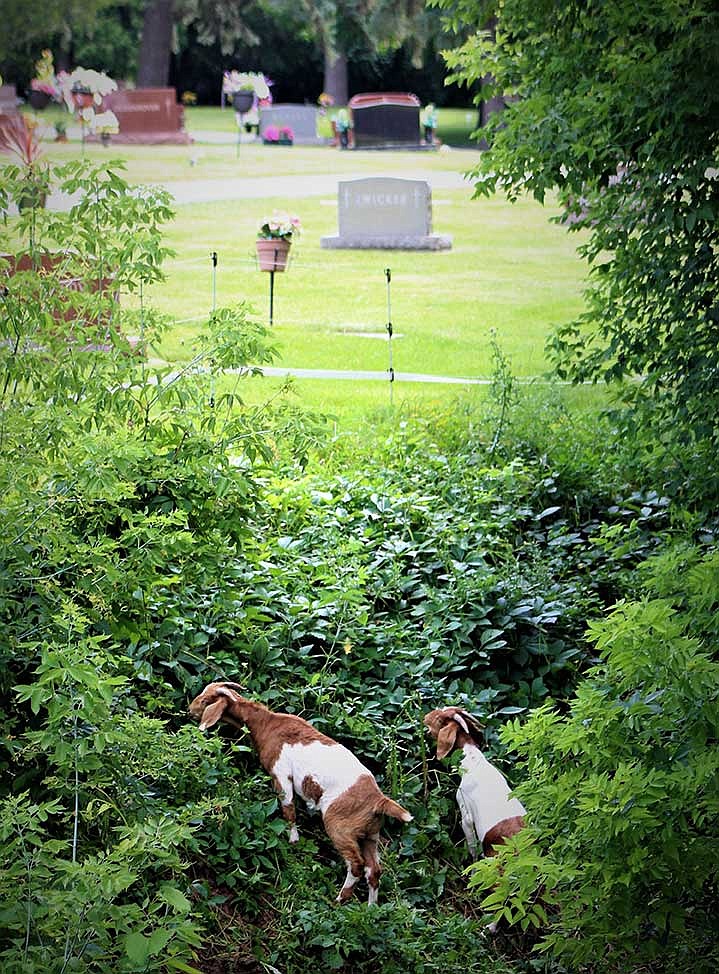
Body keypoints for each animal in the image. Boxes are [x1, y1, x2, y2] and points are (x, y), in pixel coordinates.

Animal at [189, 682, 413, 904]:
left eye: (205, 700)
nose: (190, 709)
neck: (267, 723)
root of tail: (379, 800)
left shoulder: (281, 774)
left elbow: (288, 808)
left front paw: (293, 840)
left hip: (339, 826)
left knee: (356, 865)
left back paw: (340, 898)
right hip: (371, 834)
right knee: (374, 869)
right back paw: (371, 907)